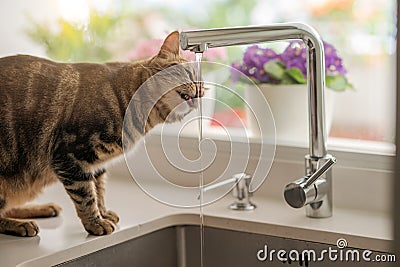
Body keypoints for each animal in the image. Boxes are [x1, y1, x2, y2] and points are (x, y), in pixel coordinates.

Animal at [0, 30, 202, 238]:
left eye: (203, 86)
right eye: (188, 74)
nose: (200, 92)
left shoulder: (95, 165)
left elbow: (98, 190)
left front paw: (103, 213)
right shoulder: (69, 155)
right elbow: (86, 196)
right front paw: (95, 222)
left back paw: (43, 209)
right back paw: (21, 224)